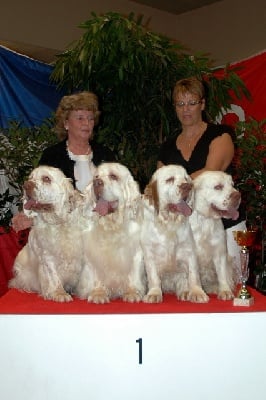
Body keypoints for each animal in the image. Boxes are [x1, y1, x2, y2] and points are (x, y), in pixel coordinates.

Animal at [9, 165, 84, 300]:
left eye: (46, 178)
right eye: (30, 178)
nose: (25, 185)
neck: (58, 222)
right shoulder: (48, 257)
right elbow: (53, 276)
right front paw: (59, 294)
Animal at [75, 162, 145, 304]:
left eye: (113, 176)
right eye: (96, 177)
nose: (96, 183)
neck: (111, 226)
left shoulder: (135, 252)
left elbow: (133, 274)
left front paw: (132, 292)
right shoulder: (94, 254)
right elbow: (97, 275)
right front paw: (98, 293)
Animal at [140, 165, 209, 304]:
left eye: (186, 178)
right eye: (170, 179)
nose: (187, 186)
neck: (169, 223)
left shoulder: (189, 250)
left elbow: (193, 275)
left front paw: (197, 293)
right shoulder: (150, 254)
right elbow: (153, 277)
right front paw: (154, 293)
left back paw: (185, 292)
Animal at [189, 170, 241, 298]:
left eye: (232, 185)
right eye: (218, 187)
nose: (238, 196)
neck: (206, 220)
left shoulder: (220, 252)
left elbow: (222, 275)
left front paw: (225, 291)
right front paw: (196, 292)